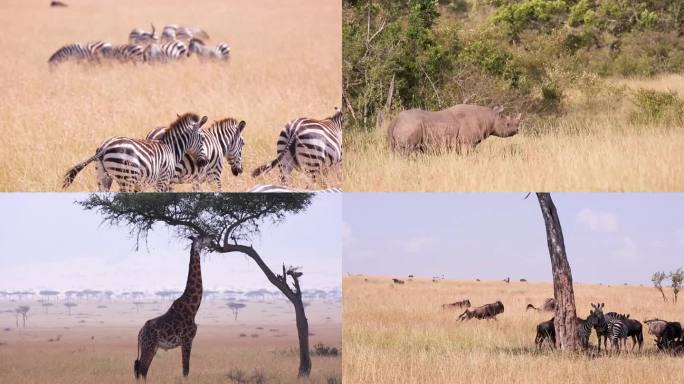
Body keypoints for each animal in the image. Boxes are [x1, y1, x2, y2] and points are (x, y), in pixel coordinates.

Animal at [63, 113, 208, 192]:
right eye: (202, 138)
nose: (205, 162)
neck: (171, 149)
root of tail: (104, 147)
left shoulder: (141, 184)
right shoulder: (163, 179)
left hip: (103, 176)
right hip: (125, 177)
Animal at [132, 236, 210, 380]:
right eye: (202, 238)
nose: (212, 238)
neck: (193, 308)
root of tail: (140, 332)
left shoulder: (187, 341)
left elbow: (185, 370)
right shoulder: (187, 340)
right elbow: (186, 370)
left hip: (153, 347)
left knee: (142, 369)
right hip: (148, 345)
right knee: (141, 369)